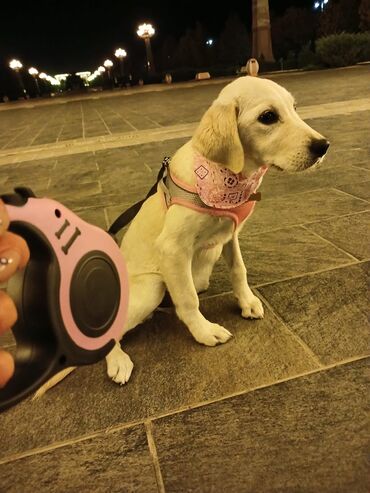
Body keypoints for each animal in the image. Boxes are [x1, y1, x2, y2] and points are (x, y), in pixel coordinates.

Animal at [104, 76, 330, 384]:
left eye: (294, 108)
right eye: (268, 117)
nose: (324, 146)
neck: (228, 178)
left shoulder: (229, 235)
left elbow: (239, 269)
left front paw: (247, 302)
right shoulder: (172, 249)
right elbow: (187, 299)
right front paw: (204, 331)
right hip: (153, 285)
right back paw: (118, 361)